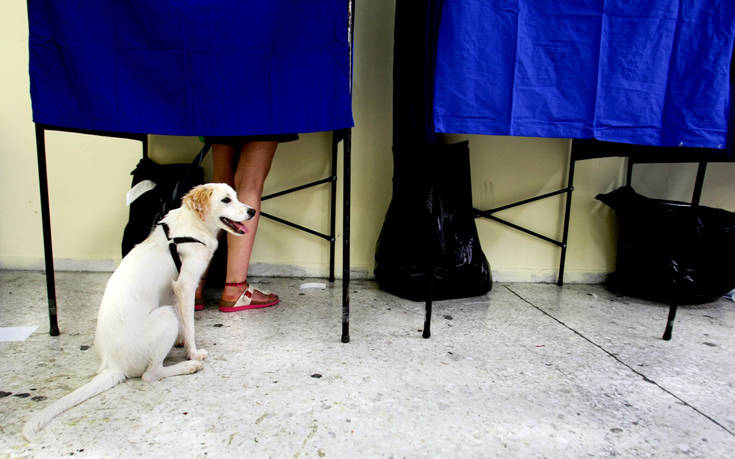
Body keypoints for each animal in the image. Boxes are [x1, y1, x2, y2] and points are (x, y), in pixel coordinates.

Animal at [23, 181, 254, 440]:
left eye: (236, 196)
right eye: (226, 200)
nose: (252, 211)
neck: (192, 228)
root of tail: (112, 365)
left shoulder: (173, 291)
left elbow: (185, 323)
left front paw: (181, 342)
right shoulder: (185, 285)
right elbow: (190, 325)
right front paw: (193, 353)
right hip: (165, 317)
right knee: (150, 374)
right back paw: (187, 367)